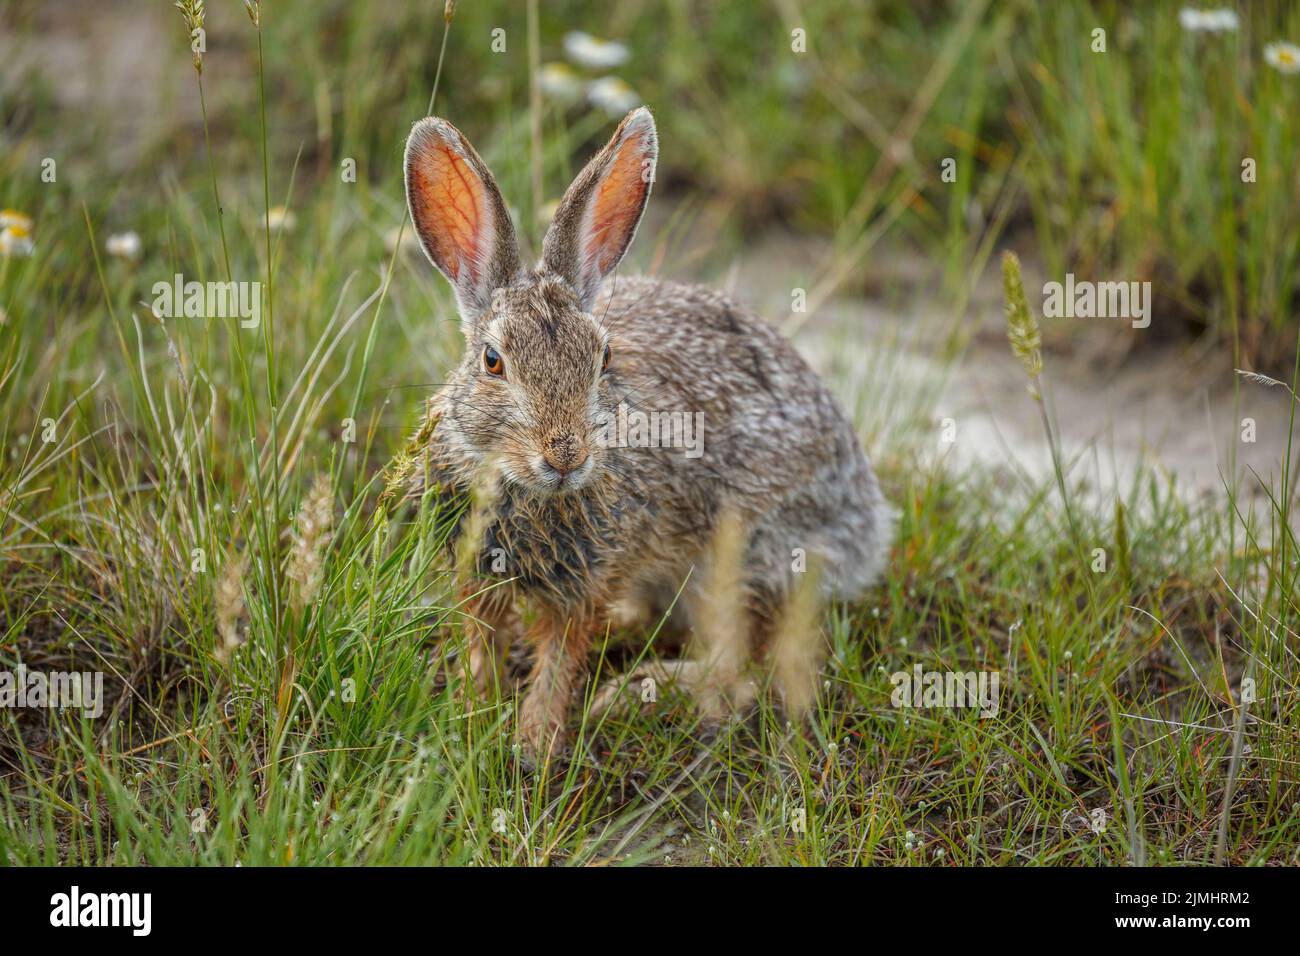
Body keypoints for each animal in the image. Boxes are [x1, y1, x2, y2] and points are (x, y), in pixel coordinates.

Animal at [405, 104, 894, 764]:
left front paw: (534, 742)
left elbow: (561, 660)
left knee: (735, 669)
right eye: (492, 361)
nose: (566, 454)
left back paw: (637, 692)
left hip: (742, 551)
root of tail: (866, 527)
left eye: (603, 358)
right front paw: (468, 708)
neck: (519, 485)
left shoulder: (585, 580)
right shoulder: (474, 570)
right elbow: (482, 640)